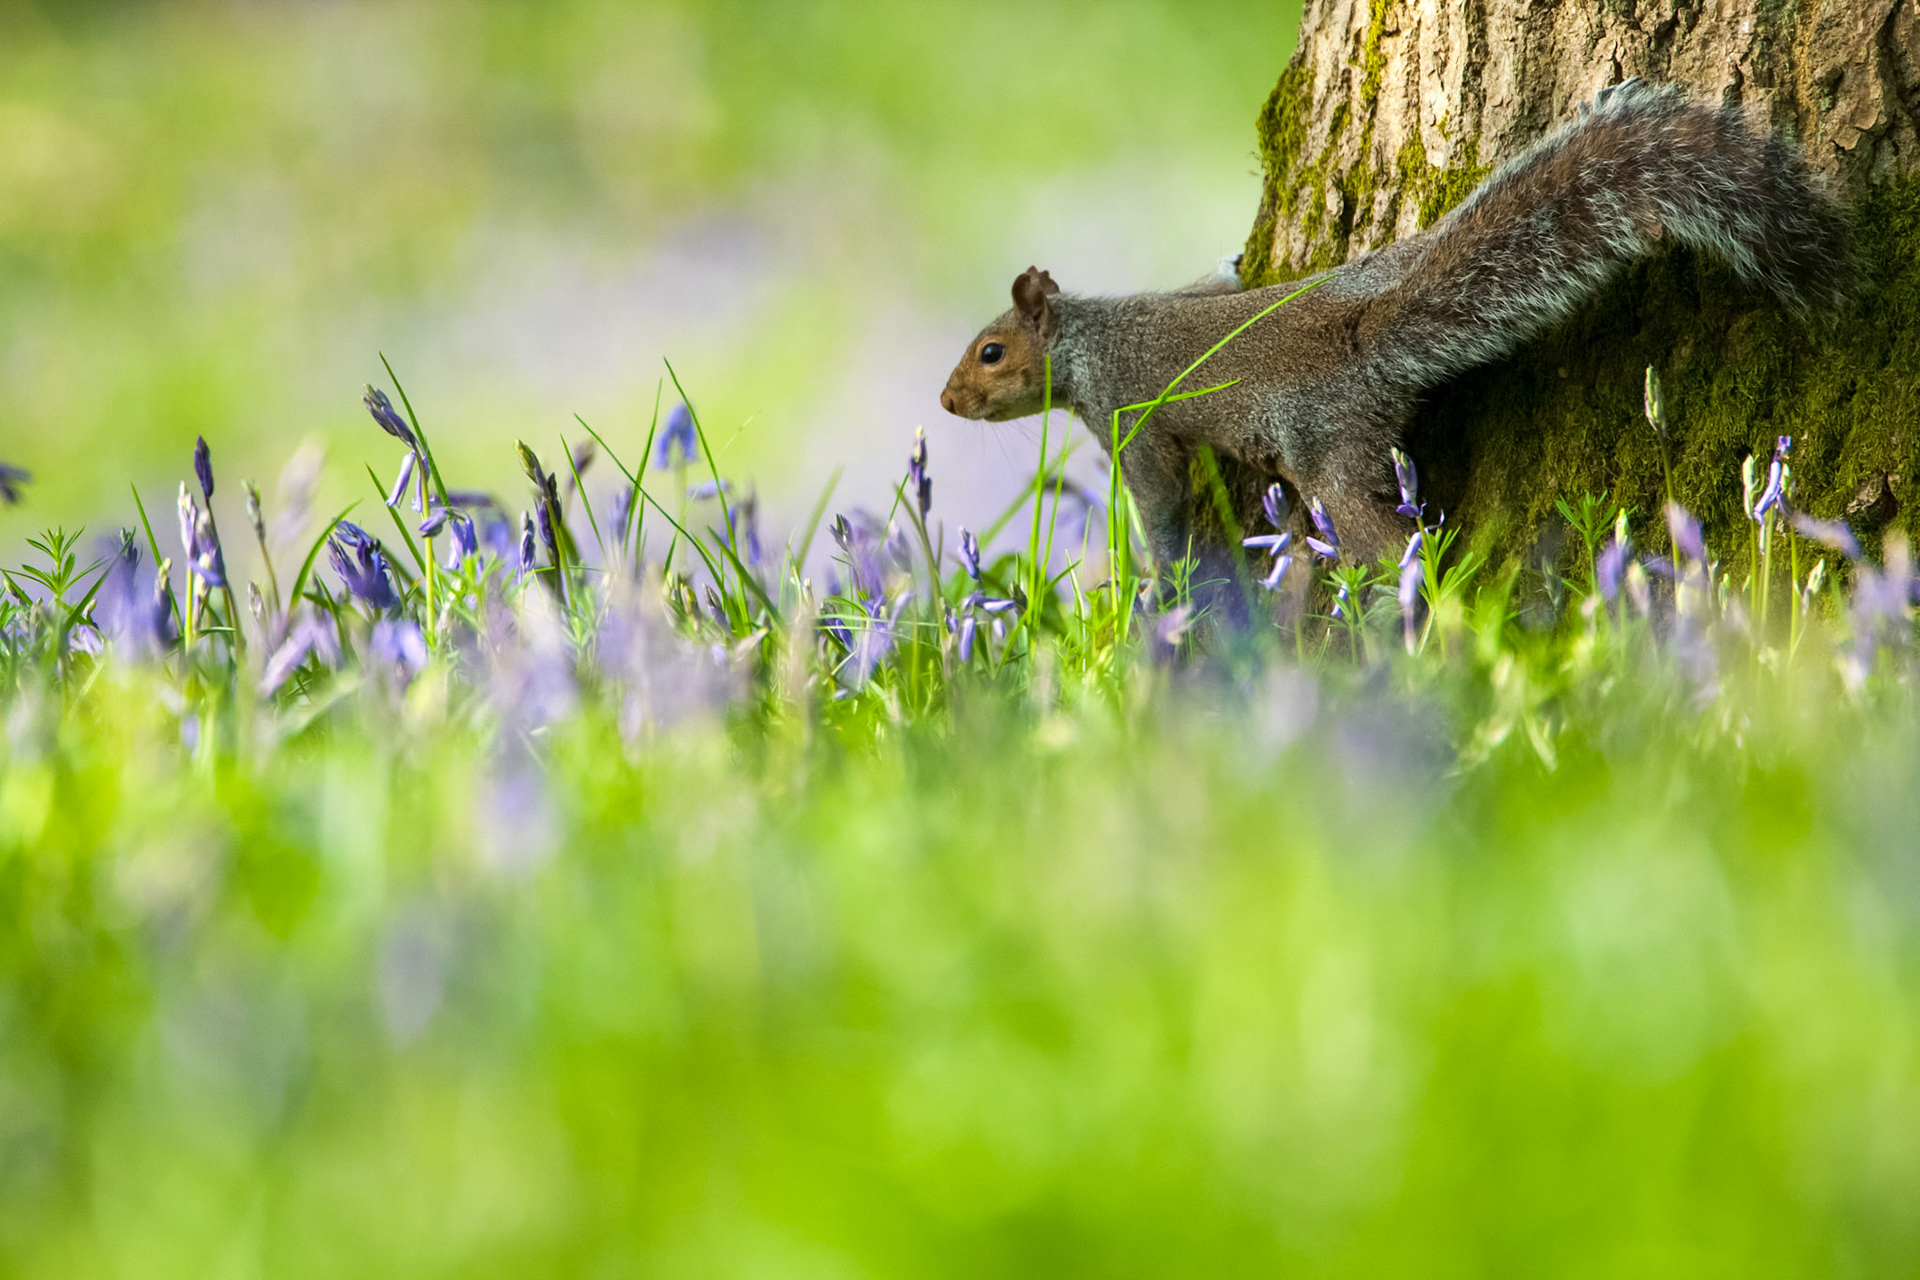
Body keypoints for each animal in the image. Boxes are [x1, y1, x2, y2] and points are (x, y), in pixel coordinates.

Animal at [939, 81, 1847, 570]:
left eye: (991, 352)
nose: (947, 404)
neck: (1088, 335)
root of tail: (1362, 335)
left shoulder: (1126, 413)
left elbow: (1157, 498)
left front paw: (1165, 576)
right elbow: (1209, 281)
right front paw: (1230, 261)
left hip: (1330, 458)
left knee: (1380, 528)